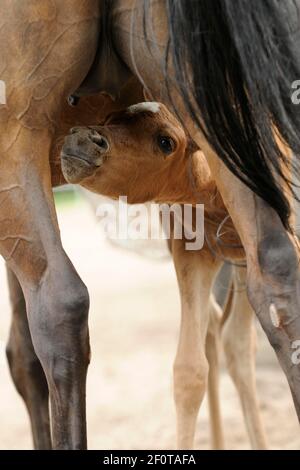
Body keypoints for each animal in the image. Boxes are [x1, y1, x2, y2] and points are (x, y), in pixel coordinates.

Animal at [61, 102, 268, 448]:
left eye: (166, 142)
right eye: (109, 117)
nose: (81, 140)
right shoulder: (191, 249)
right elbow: (189, 368)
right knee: (220, 331)